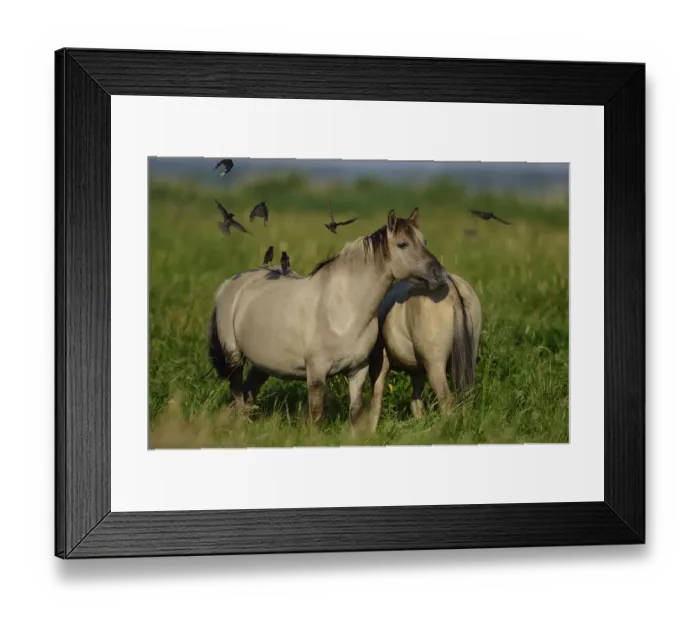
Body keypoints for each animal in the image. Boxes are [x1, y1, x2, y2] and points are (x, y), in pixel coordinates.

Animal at [207, 208, 447, 426]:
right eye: (403, 244)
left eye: (424, 241)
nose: (440, 274)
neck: (343, 309)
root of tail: (230, 284)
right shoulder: (316, 373)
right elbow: (316, 415)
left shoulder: (357, 371)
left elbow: (355, 413)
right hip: (234, 358)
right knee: (238, 395)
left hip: (261, 365)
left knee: (247, 395)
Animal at [363, 273, 482, 430]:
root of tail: (452, 288)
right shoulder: (417, 370)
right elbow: (416, 403)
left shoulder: (379, 364)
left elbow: (375, 402)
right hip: (468, 359)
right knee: (466, 396)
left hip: (435, 366)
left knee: (446, 400)